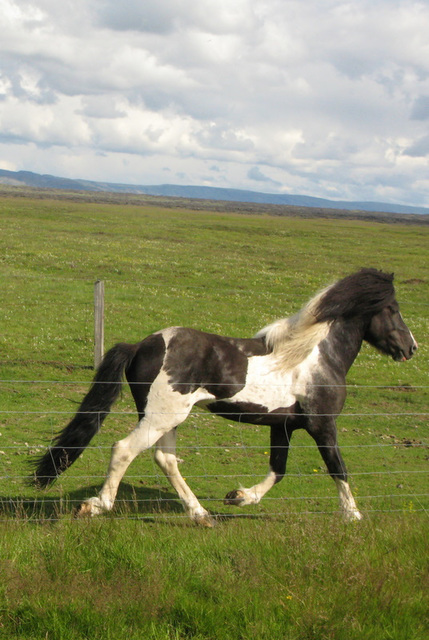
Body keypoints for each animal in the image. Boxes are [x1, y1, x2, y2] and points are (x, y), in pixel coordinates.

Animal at [35, 270, 416, 524]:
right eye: (393, 309)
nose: (411, 348)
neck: (315, 356)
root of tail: (142, 344)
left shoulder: (283, 426)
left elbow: (278, 470)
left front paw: (239, 497)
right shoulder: (322, 425)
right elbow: (338, 467)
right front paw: (353, 516)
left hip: (167, 418)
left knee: (165, 459)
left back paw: (201, 514)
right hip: (163, 416)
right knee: (125, 449)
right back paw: (97, 505)